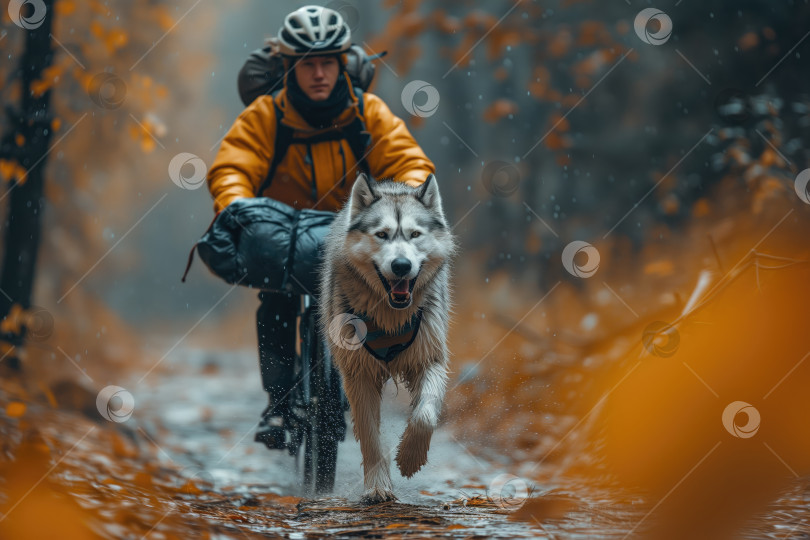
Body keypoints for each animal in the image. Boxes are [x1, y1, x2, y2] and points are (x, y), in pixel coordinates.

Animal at [316, 173, 454, 502]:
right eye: (381, 234)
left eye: (415, 234)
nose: (401, 265)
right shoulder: (359, 373)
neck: (390, 318)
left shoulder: (430, 358)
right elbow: (369, 435)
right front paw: (378, 486)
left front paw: (409, 458)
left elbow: (425, 415)